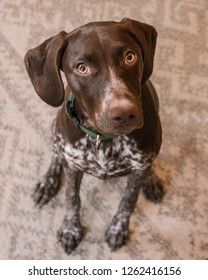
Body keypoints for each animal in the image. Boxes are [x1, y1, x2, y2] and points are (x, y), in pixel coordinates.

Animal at [24, 17, 164, 254]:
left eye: (130, 56)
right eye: (82, 68)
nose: (124, 114)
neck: (105, 141)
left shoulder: (137, 170)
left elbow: (128, 202)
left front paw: (118, 229)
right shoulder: (73, 166)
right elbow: (72, 199)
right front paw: (71, 229)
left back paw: (151, 179)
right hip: (55, 131)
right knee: (56, 156)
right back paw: (47, 183)